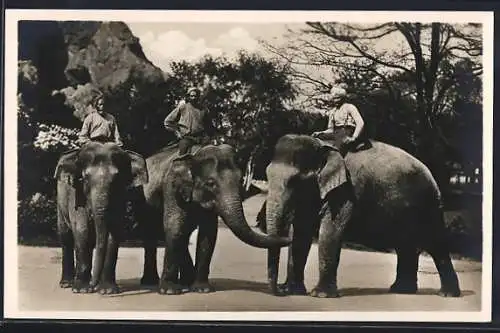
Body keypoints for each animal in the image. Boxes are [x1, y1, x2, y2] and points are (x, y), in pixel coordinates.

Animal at [55, 140, 148, 294]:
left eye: (116, 180)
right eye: (85, 179)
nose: (93, 286)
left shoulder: (120, 198)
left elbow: (113, 233)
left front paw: (107, 290)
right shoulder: (76, 195)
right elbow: (82, 230)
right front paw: (81, 290)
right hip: (60, 199)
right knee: (66, 236)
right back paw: (67, 284)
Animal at [138, 141, 292, 294]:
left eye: (240, 180)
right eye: (210, 183)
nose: (289, 237)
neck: (194, 154)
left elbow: (208, 234)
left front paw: (202, 289)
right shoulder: (172, 188)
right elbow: (175, 227)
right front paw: (170, 291)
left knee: (183, 236)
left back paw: (185, 281)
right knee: (154, 235)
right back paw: (152, 282)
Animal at [262, 135, 460, 298]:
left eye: (295, 181)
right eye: (267, 175)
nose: (279, 291)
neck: (323, 147)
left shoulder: (346, 191)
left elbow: (330, 232)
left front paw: (320, 295)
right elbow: (301, 234)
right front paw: (293, 291)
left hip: (429, 205)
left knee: (435, 244)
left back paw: (447, 294)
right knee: (405, 246)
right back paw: (401, 290)